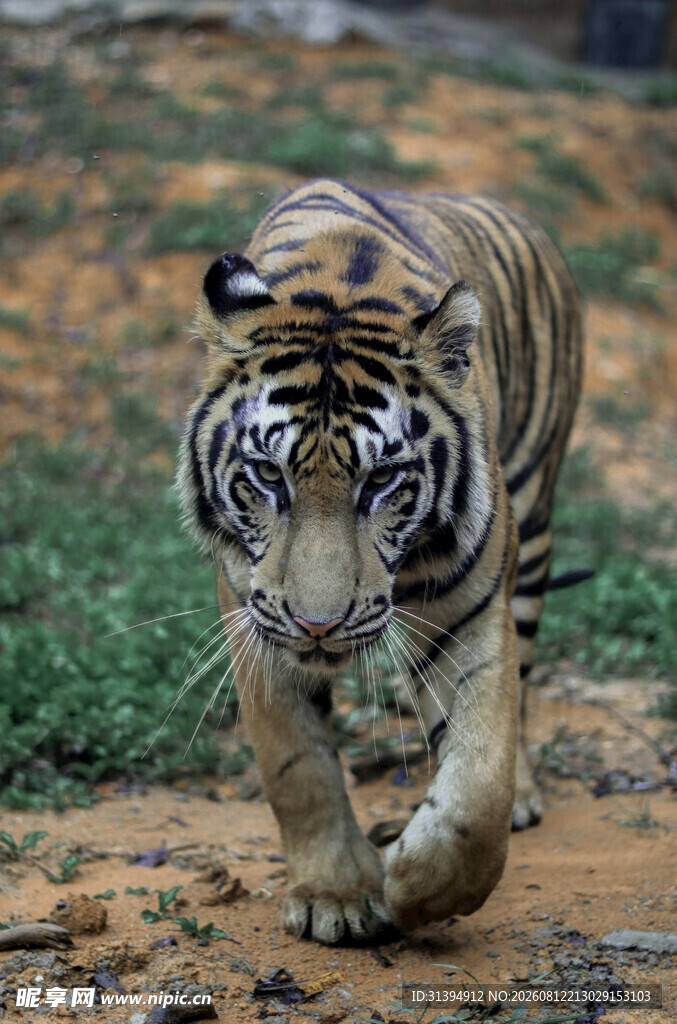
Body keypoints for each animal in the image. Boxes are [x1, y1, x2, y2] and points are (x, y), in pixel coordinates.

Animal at [178, 177, 582, 945]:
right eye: (268, 475)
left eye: (381, 481)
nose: (318, 626)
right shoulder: (252, 616)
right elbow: (297, 766)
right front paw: (336, 894)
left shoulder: (471, 616)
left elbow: (477, 786)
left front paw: (417, 888)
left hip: (535, 517)